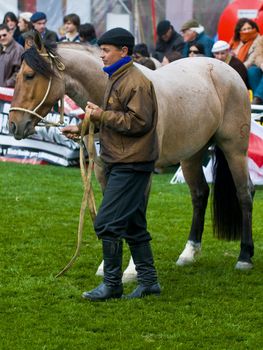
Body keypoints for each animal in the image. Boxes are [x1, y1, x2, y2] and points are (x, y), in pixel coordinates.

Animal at [9, 35, 255, 276]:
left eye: (29, 75)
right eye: (17, 75)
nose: (13, 125)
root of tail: (227, 71)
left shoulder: (141, 173)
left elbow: (135, 215)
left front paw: (132, 269)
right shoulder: (103, 170)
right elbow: (111, 211)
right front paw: (107, 266)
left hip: (235, 149)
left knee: (245, 192)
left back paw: (245, 257)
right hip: (192, 154)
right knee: (200, 194)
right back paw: (189, 253)